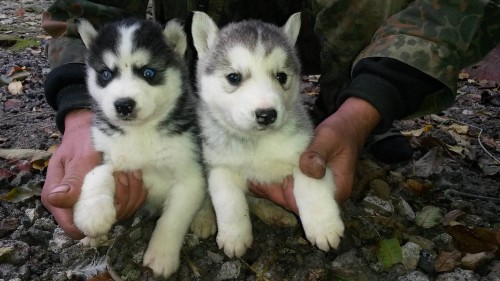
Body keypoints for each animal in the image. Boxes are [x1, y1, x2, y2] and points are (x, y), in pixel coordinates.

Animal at [74, 18, 215, 276]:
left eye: (148, 72)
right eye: (106, 74)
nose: (123, 105)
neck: (141, 132)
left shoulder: (189, 176)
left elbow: (172, 219)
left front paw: (161, 255)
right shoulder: (111, 153)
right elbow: (97, 173)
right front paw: (92, 214)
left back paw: (204, 217)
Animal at [191, 12, 344, 258]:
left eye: (281, 77)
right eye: (234, 77)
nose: (266, 114)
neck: (258, 142)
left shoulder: (305, 154)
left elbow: (310, 186)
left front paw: (323, 226)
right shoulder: (220, 166)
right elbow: (229, 201)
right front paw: (234, 236)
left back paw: (276, 213)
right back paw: (203, 217)